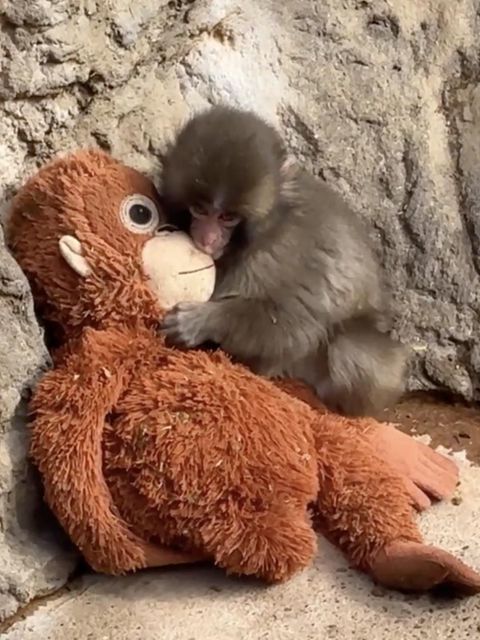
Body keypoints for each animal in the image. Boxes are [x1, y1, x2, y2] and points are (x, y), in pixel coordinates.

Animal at [159, 105, 408, 417]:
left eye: (227, 217)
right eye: (200, 209)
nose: (208, 239)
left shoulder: (279, 252)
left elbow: (294, 323)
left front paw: (203, 321)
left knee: (349, 349)